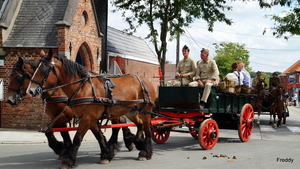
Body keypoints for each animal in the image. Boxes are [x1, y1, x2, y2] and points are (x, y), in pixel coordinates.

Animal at [5, 56, 135, 159]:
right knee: (121, 121)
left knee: (118, 125)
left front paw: (60, 148)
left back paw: (117, 144)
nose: (9, 99)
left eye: (17, 77)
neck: (57, 90)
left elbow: (48, 131)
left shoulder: (64, 116)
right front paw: (65, 149)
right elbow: (62, 133)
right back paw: (126, 141)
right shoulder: (58, 117)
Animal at [27, 49, 156, 168]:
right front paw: (106, 155)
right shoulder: (90, 118)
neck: (83, 87)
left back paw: (145, 153)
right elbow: (99, 136)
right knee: (139, 124)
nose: (30, 91)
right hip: (130, 111)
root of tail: (145, 80)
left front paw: (68, 160)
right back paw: (137, 142)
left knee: (147, 130)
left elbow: (77, 138)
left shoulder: (87, 117)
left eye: (43, 69)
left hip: (145, 110)